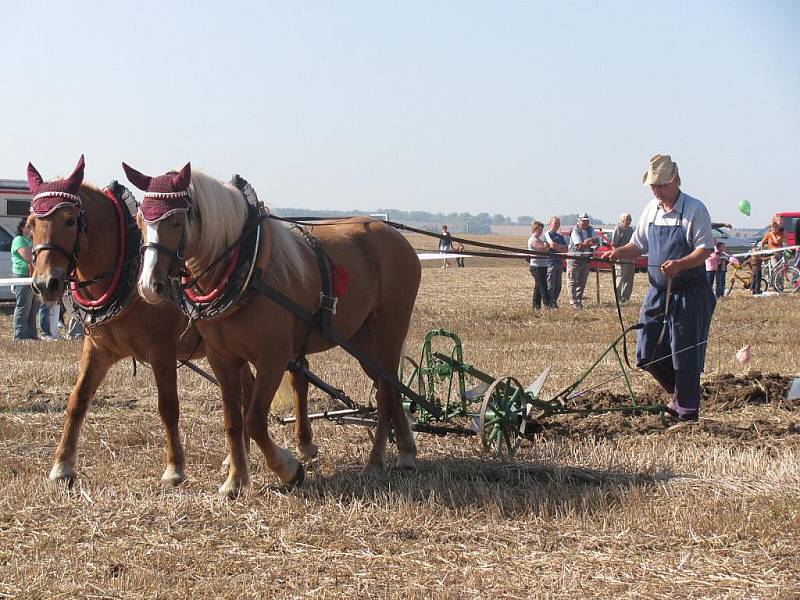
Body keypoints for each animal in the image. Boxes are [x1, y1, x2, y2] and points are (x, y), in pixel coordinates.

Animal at [25, 156, 256, 488]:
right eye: (31, 224)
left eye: (69, 220)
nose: (45, 284)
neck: (128, 274)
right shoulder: (98, 349)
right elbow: (77, 400)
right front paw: (62, 466)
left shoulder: (162, 351)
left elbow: (168, 407)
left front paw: (175, 469)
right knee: (246, 387)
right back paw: (238, 457)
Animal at [124, 162, 418, 494]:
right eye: (140, 220)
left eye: (175, 221)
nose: (149, 286)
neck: (248, 269)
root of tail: (397, 237)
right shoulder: (222, 358)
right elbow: (233, 420)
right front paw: (235, 480)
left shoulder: (273, 357)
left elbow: (254, 420)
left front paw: (289, 469)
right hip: (362, 341)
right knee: (389, 388)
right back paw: (406, 453)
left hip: (389, 331)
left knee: (385, 395)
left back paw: (375, 463)